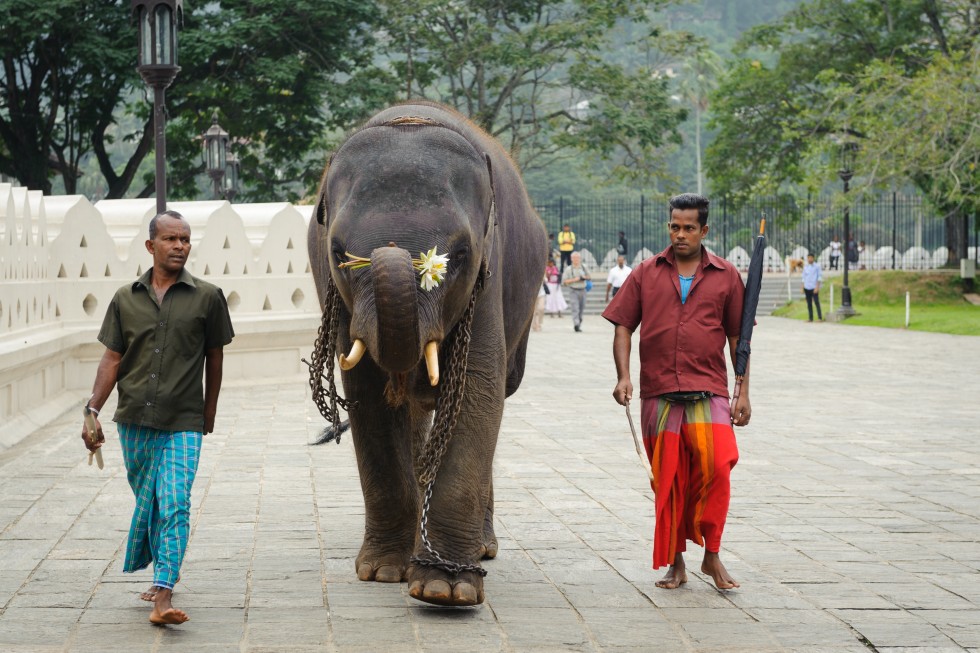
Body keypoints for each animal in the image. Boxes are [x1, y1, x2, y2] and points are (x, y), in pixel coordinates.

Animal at [306, 102, 548, 608]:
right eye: (338, 253)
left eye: (460, 254)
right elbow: (368, 397)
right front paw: (382, 572)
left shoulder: (488, 273)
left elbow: (478, 388)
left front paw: (444, 588)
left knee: (498, 392)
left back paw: (483, 547)